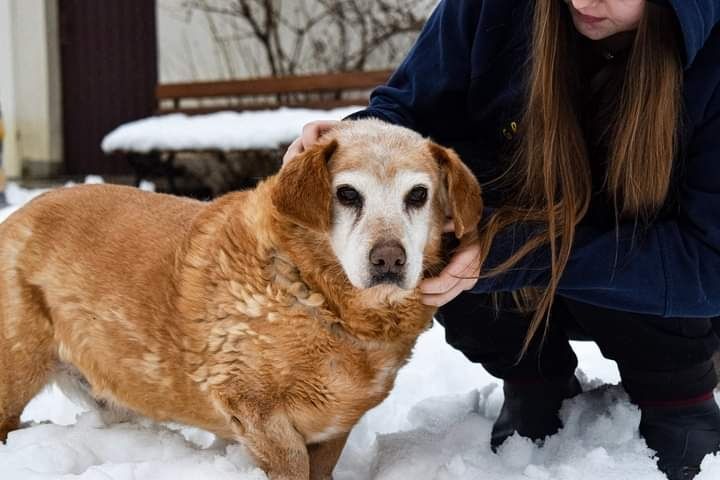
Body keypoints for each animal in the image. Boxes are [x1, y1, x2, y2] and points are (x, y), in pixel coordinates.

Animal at [1, 119, 484, 476]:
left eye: (417, 195)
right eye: (347, 194)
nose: (389, 259)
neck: (313, 294)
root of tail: (16, 217)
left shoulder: (334, 427)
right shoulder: (255, 409)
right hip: (15, 373)